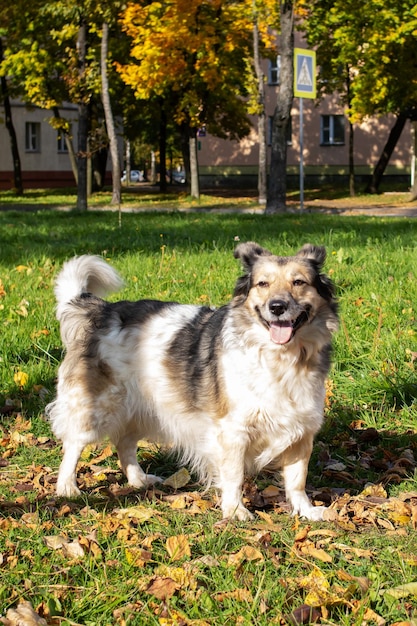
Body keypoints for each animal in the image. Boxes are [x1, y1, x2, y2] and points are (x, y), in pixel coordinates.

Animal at [46, 241, 338, 520]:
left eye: (298, 282)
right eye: (262, 284)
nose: (277, 307)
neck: (281, 358)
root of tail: (103, 311)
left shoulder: (302, 430)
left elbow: (297, 480)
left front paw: (306, 511)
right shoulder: (233, 431)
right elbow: (234, 475)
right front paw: (235, 511)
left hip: (143, 407)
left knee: (125, 443)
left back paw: (139, 479)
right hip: (97, 405)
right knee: (74, 443)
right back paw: (67, 486)